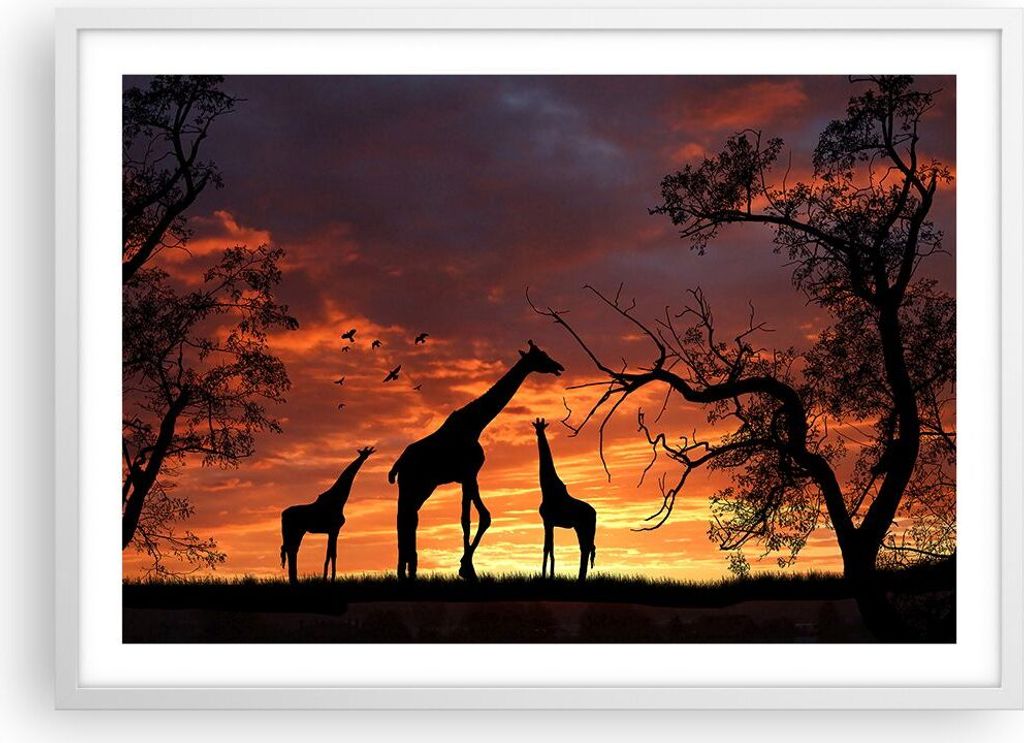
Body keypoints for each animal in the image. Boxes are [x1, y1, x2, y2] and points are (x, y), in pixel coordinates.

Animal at [280, 446, 374, 584]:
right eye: (364, 453)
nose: (365, 456)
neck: (339, 499)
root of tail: (282, 515)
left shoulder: (332, 531)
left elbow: (330, 554)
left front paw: (327, 578)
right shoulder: (335, 529)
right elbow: (332, 555)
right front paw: (331, 579)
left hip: (296, 532)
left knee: (291, 549)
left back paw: (294, 580)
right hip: (295, 531)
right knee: (291, 550)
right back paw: (294, 580)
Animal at [387, 340, 565, 581]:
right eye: (541, 356)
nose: (558, 366)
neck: (475, 425)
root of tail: (398, 465)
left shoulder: (467, 477)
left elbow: (468, 518)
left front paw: (466, 567)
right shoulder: (469, 474)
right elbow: (482, 517)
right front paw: (467, 569)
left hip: (423, 487)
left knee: (409, 518)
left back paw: (409, 570)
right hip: (411, 486)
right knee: (404, 518)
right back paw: (404, 572)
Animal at [532, 418, 596, 581]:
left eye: (541, 428)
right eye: (536, 427)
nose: (538, 433)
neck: (547, 489)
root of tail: (595, 513)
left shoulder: (547, 520)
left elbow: (547, 548)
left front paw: (546, 576)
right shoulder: (549, 522)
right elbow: (550, 547)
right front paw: (549, 575)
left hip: (585, 526)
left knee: (586, 548)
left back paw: (581, 578)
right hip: (581, 527)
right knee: (586, 548)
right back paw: (580, 578)